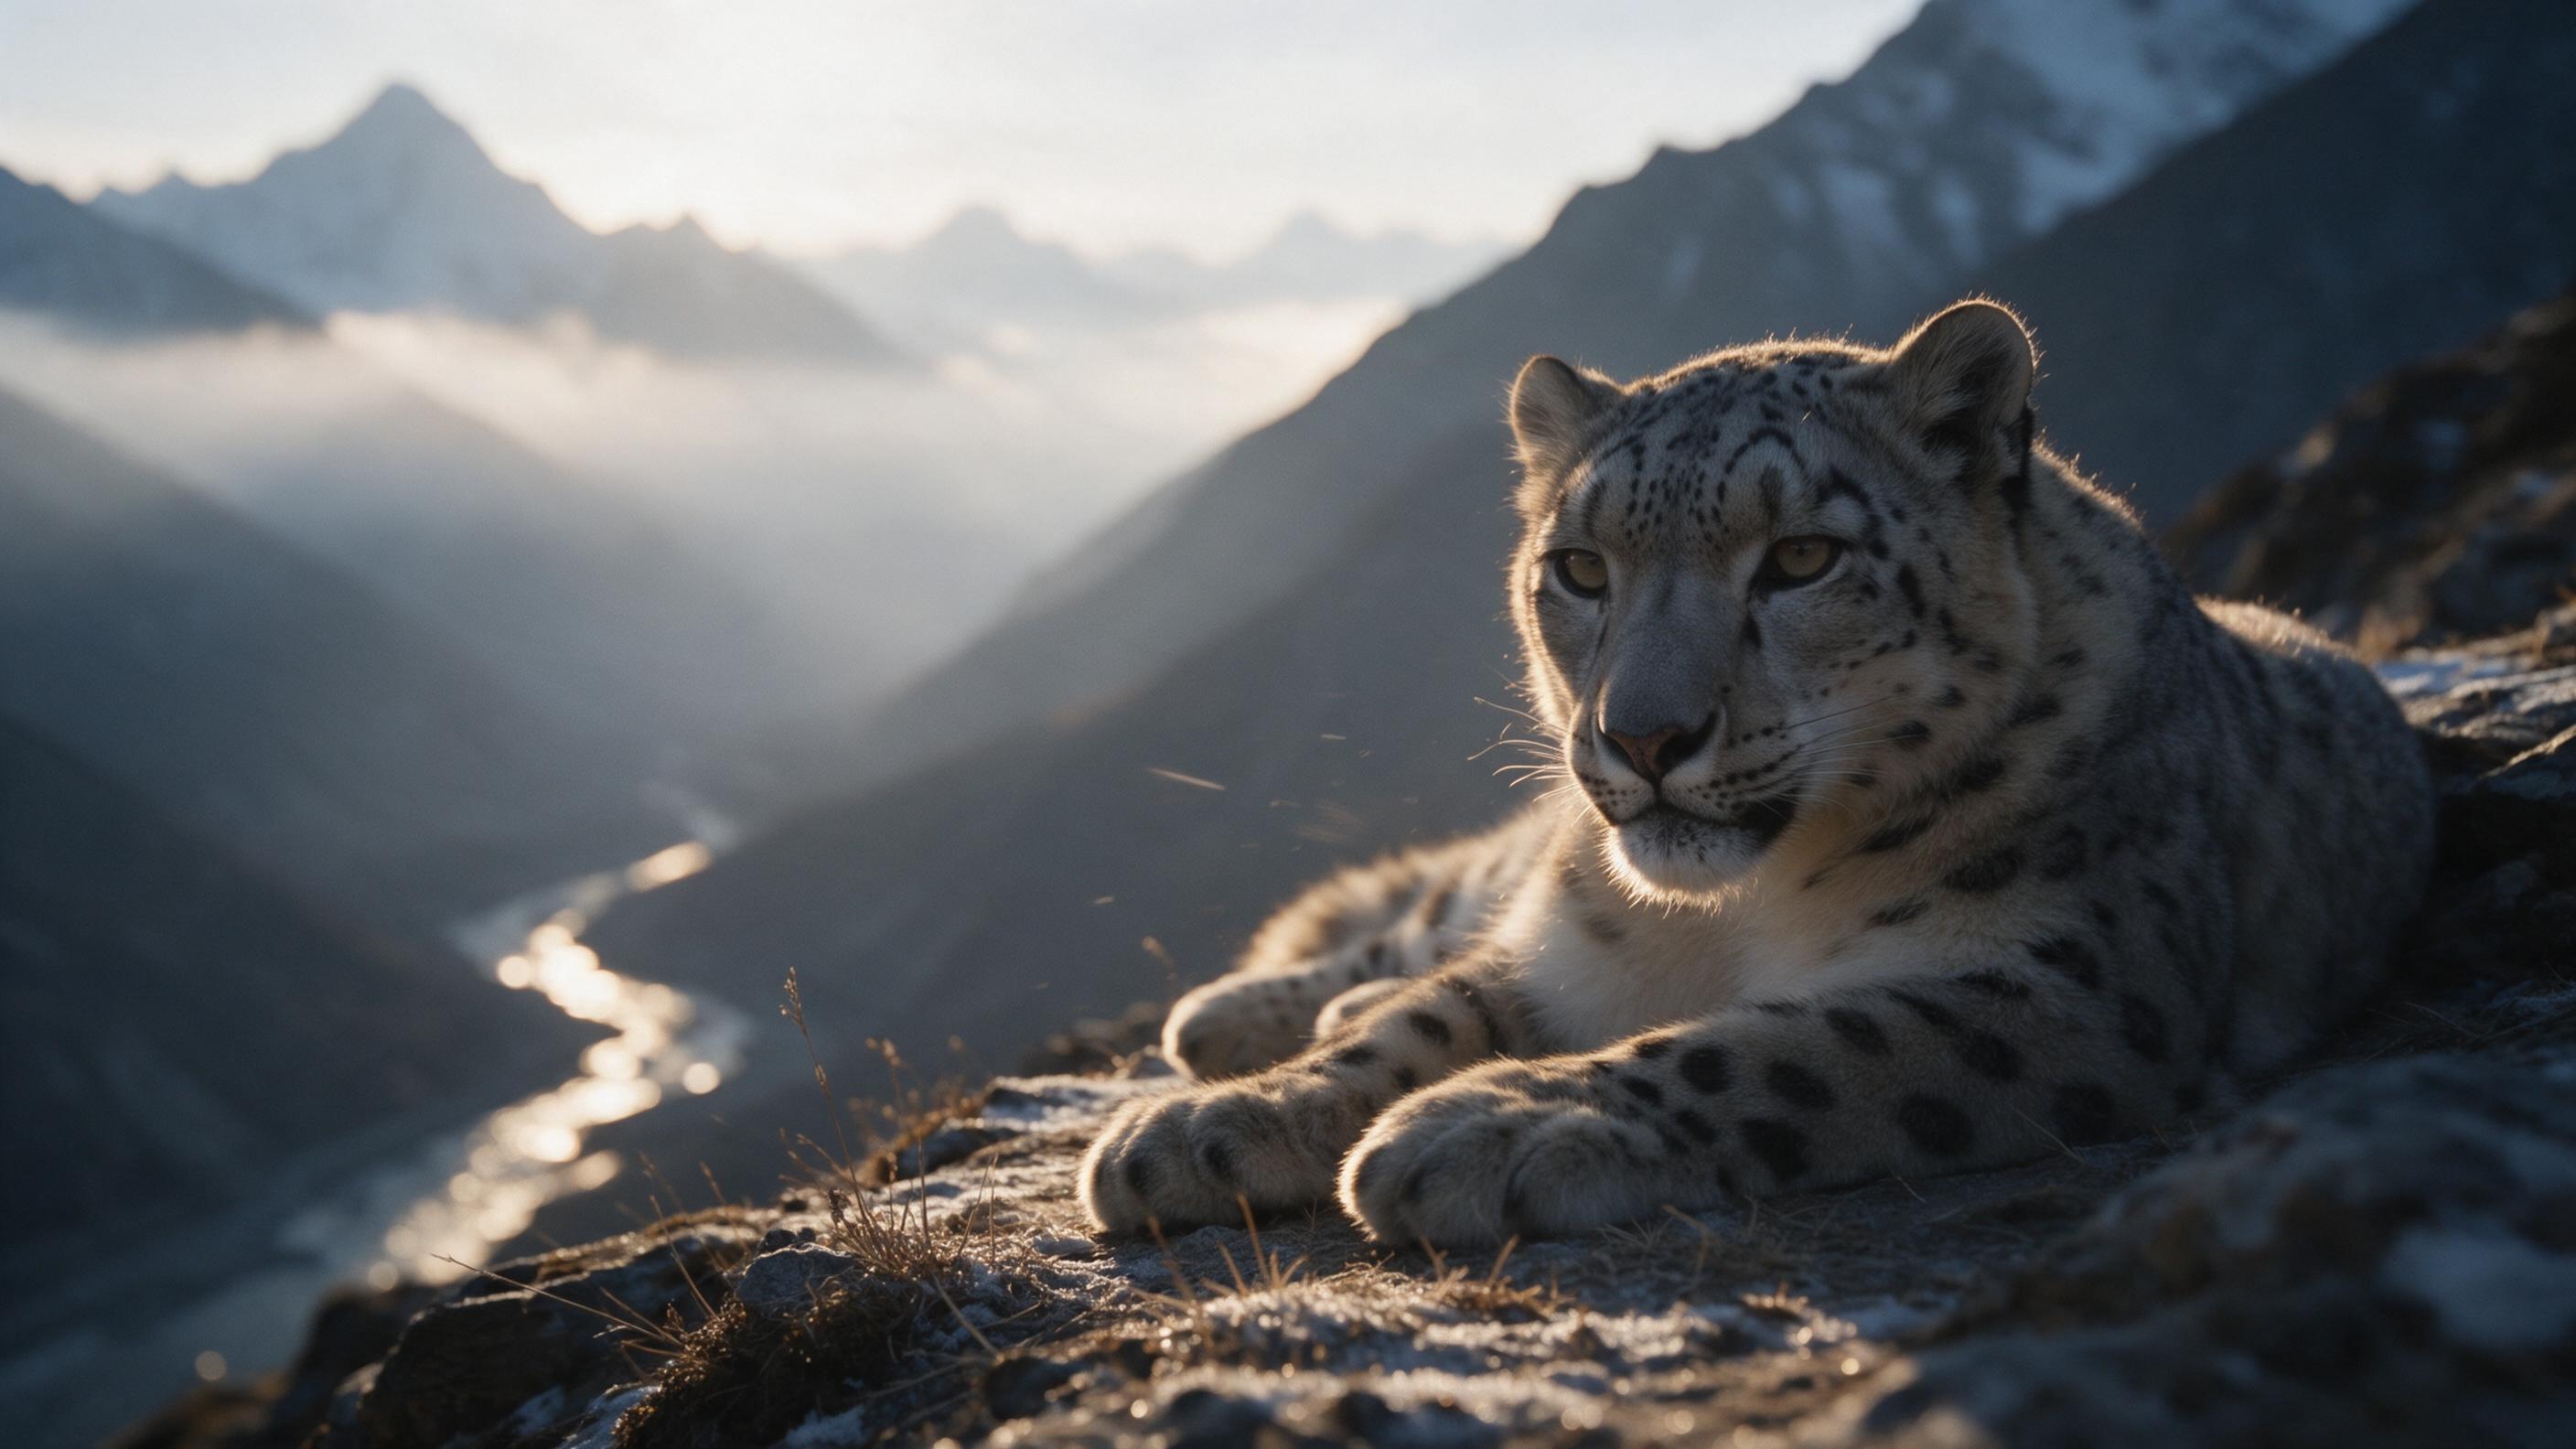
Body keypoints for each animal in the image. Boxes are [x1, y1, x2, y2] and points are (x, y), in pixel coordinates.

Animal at [1082, 298, 2436, 1248]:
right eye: (1578, 567)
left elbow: (1780, 1043)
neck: (1729, 917)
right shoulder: (1563, 951)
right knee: (1416, 932)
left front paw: (1490, 1121)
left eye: (1799, 557)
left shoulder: (2068, 982)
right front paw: (1216, 1128)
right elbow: (1427, 1015)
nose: (1642, 738)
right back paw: (1233, 1023)